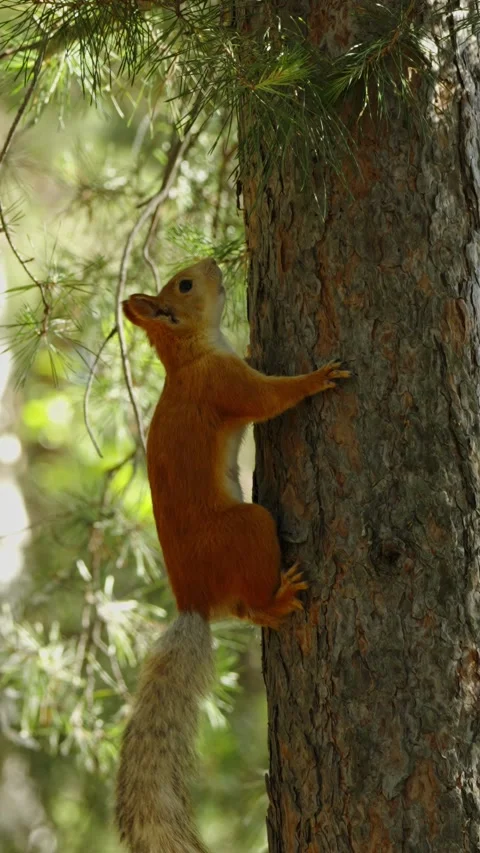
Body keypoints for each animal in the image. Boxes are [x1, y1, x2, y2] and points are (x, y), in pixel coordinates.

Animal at [116, 257, 350, 853]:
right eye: (185, 285)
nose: (214, 263)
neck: (191, 358)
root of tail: (193, 601)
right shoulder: (226, 387)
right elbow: (269, 399)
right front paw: (318, 378)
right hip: (250, 526)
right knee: (251, 605)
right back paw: (281, 598)